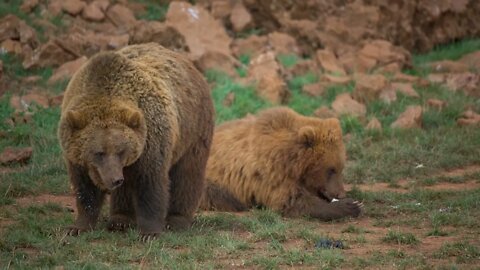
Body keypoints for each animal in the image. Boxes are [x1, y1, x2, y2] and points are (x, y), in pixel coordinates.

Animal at [57, 42, 214, 240]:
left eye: (120, 150)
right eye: (99, 152)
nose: (115, 179)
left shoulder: (150, 137)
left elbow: (150, 183)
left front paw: (149, 232)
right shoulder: (75, 154)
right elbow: (85, 188)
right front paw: (77, 227)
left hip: (193, 129)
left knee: (187, 174)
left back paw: (176, 220)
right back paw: (120, 219)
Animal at [201, 106, 362, 220]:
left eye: (341, 168)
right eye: (330, 169)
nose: (341, 194)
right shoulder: (271, 174)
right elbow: (292, 201)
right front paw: (350, 206)